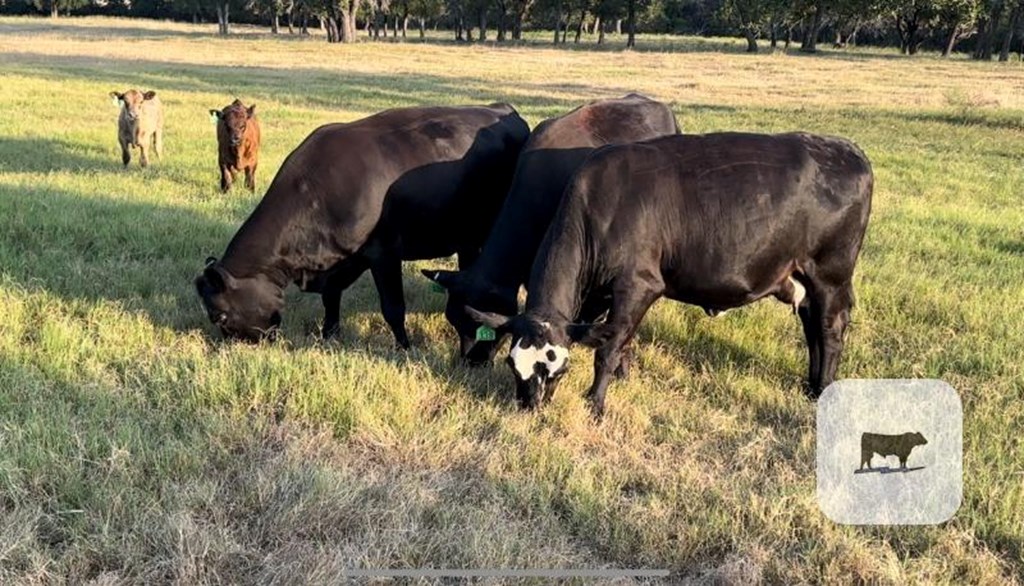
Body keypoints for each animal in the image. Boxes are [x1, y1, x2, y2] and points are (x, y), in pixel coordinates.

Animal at [193, 103, 528, 346]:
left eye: (219, 317)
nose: (240, 347)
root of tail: (501, 108)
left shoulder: (384, 253)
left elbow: (393, 308)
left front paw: (404, 347)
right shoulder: (337, 261)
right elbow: (331, 299)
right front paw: (328, 335)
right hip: (466, 238)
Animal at [464, 131, 872, 415]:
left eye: (556, 370)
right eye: (512, 365)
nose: (530, 406)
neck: (600, 206)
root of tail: (848, 150)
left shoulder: (638, 285)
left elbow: (608, 348)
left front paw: (595, 402)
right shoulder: (598, 295)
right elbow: (613, 338)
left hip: (830, 276)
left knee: (830, 329)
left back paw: (822, 390)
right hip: (803, 277)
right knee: (812, 325)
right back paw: (811, 385)